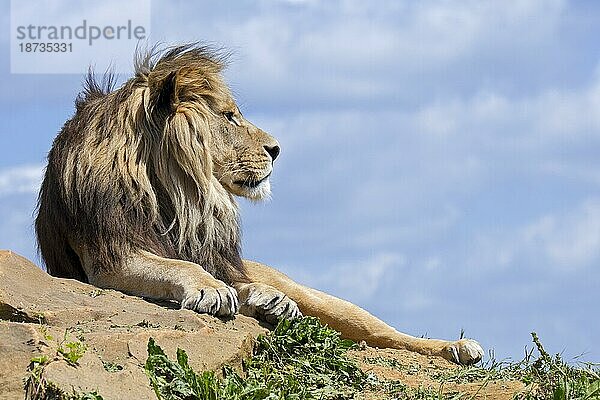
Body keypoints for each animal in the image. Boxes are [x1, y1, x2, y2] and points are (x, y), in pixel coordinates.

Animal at [34, 44, 482, 366]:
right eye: (230, 116)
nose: (277, 149)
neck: (180, 192)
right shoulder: (108, 259)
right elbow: (180, 265)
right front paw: (213, 291)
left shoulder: (219, 257)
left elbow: (229, 277)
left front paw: (264, 298)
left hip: (323, 299)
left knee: (383, 335)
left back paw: (457, 348)